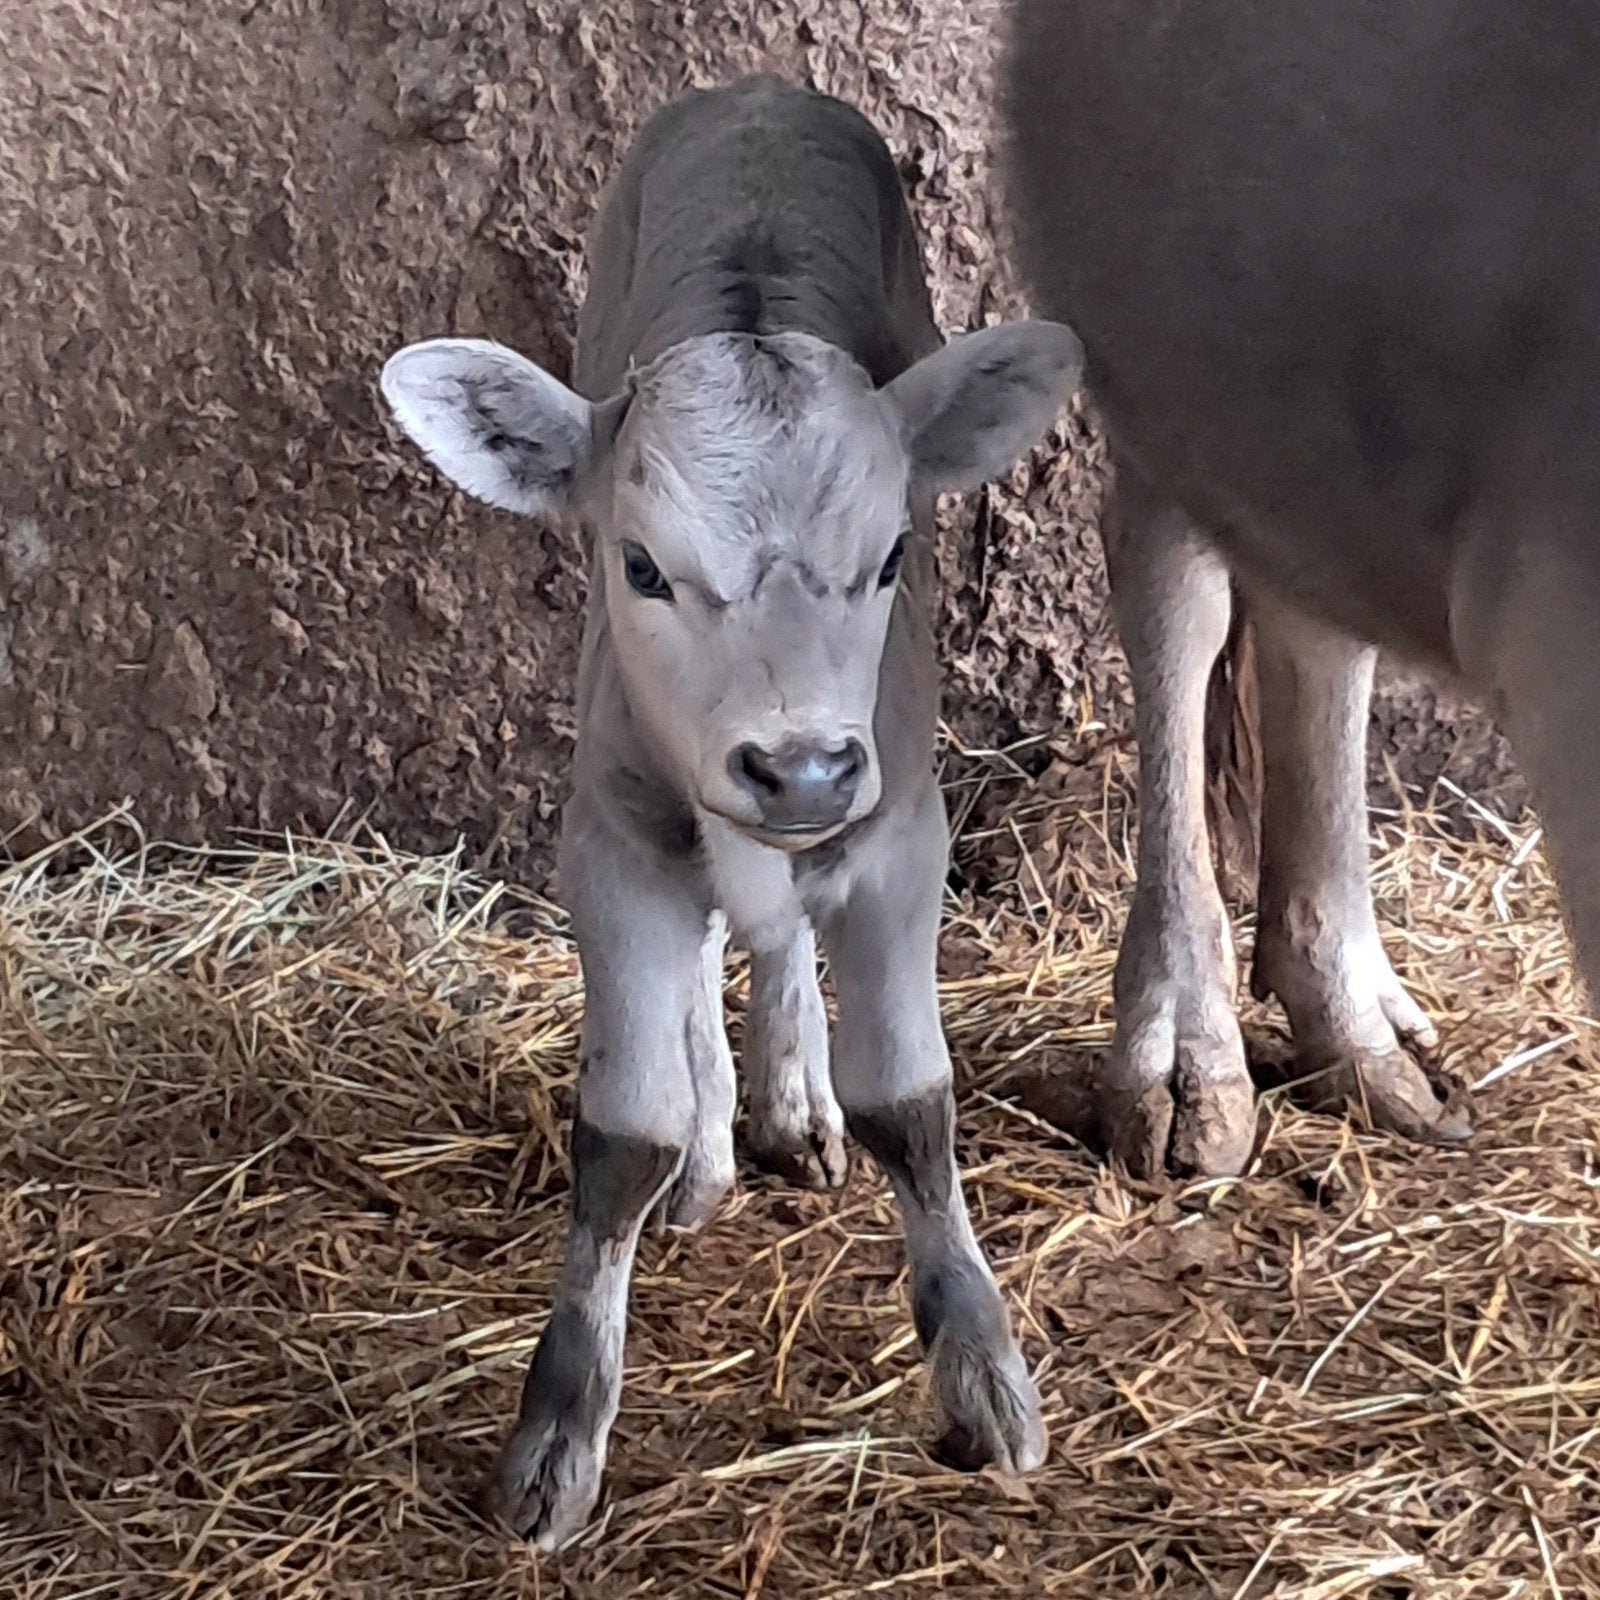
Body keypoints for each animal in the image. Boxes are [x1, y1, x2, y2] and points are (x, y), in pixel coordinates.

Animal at [380, 74, 1081, 1546]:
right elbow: (622, 1132)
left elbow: (913, 1102)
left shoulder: (901, 823)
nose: (799, 766)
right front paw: (558, 1431)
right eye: (642, 565)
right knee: (713, 953)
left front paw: (981, 1365)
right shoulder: (611, 839)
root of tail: (757, 89)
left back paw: (792, 1097)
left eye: (892, 555)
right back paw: (714, 1142)